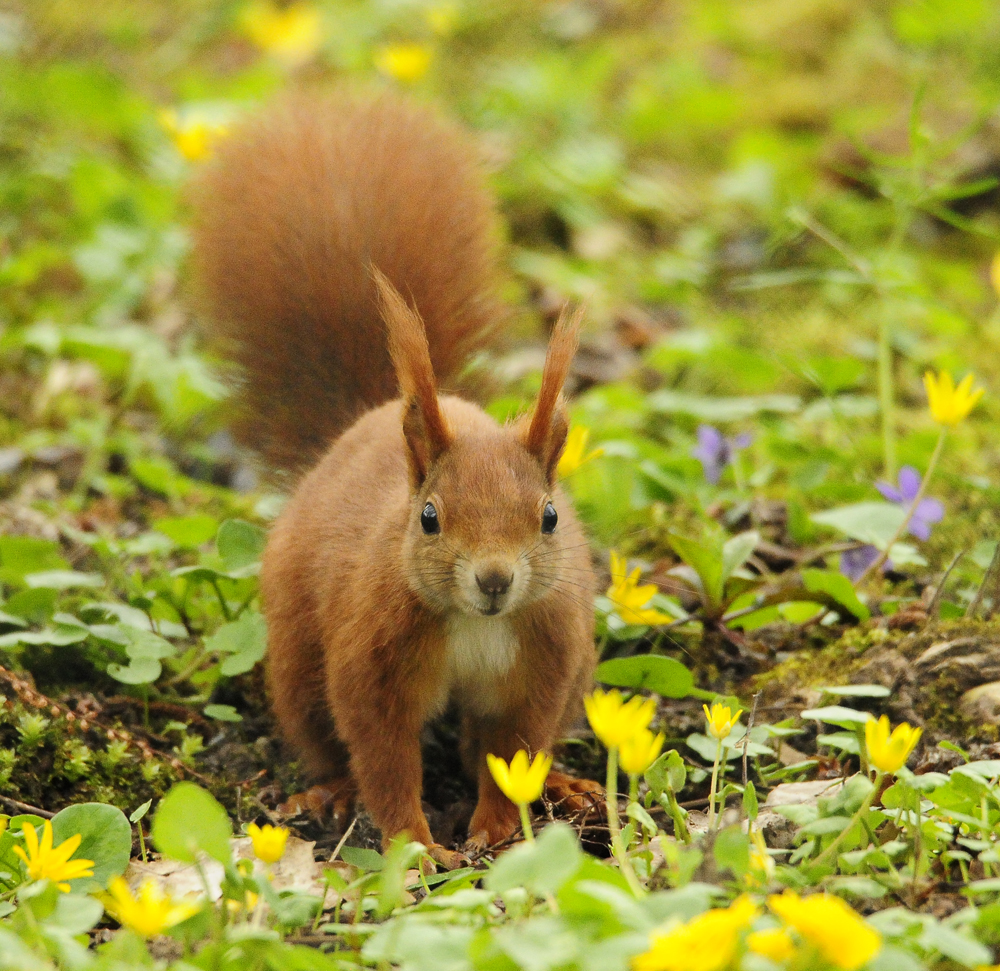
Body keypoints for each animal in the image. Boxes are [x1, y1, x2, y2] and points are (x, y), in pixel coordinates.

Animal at [191, 91, 596, 864]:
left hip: (580, 669)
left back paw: (564, 784)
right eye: (429, 517)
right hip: (298, 661)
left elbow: (514, 749)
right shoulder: (370, 658)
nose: (494, 580)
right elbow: (383, 753)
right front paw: (415, 842)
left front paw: (495, 826)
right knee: (325, 735)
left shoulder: (543, 664)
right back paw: (329, 791)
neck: (472, 625)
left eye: (550, 516)